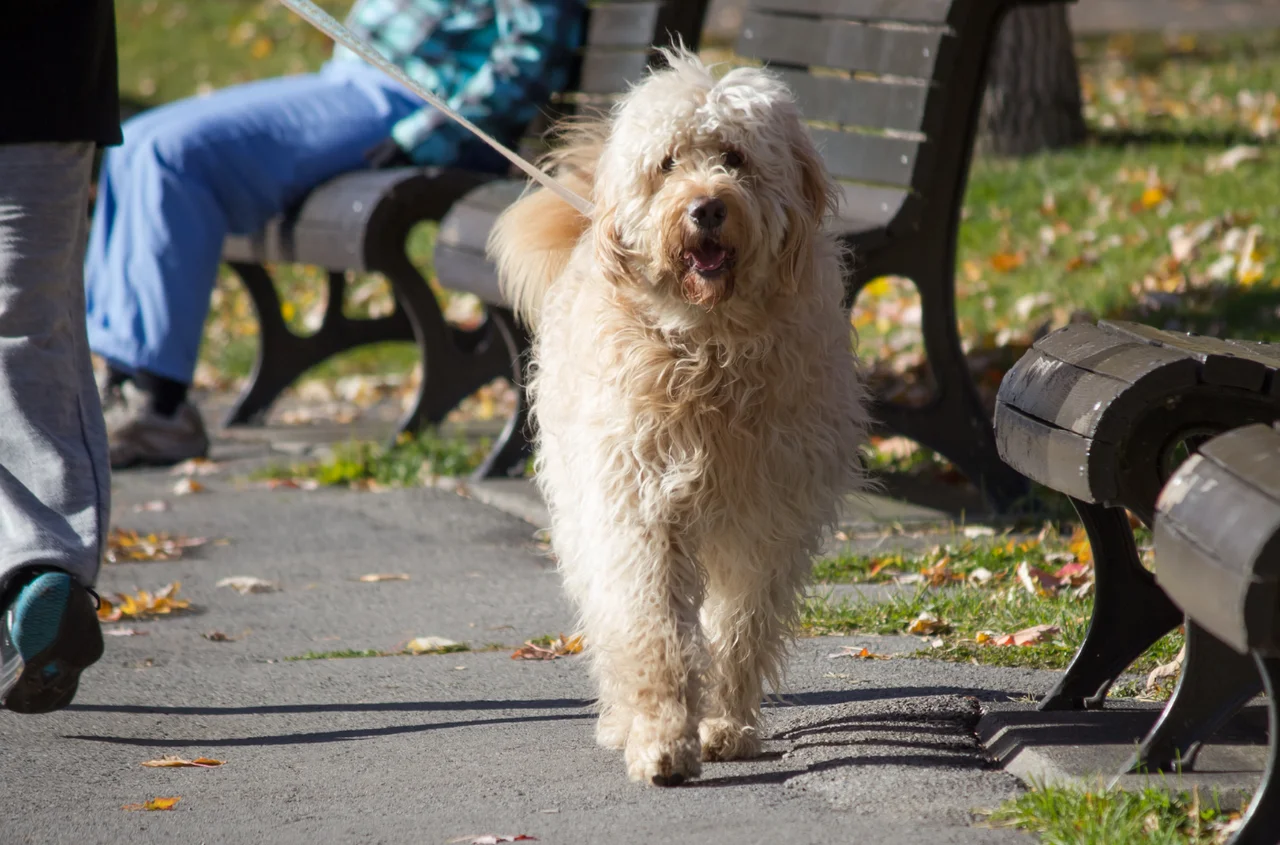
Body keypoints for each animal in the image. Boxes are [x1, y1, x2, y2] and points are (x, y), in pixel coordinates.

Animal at [488, 46, 870, 783]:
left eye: (735, 157)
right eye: (667, 163)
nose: (707, 208)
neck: (709, 348)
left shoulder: (766, 516)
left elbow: (741, 627)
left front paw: (726, 723)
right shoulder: (637, 507)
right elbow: (649, 626)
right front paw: (662, 737)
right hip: (582, 502)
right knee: (609, 614)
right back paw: (621, 719)